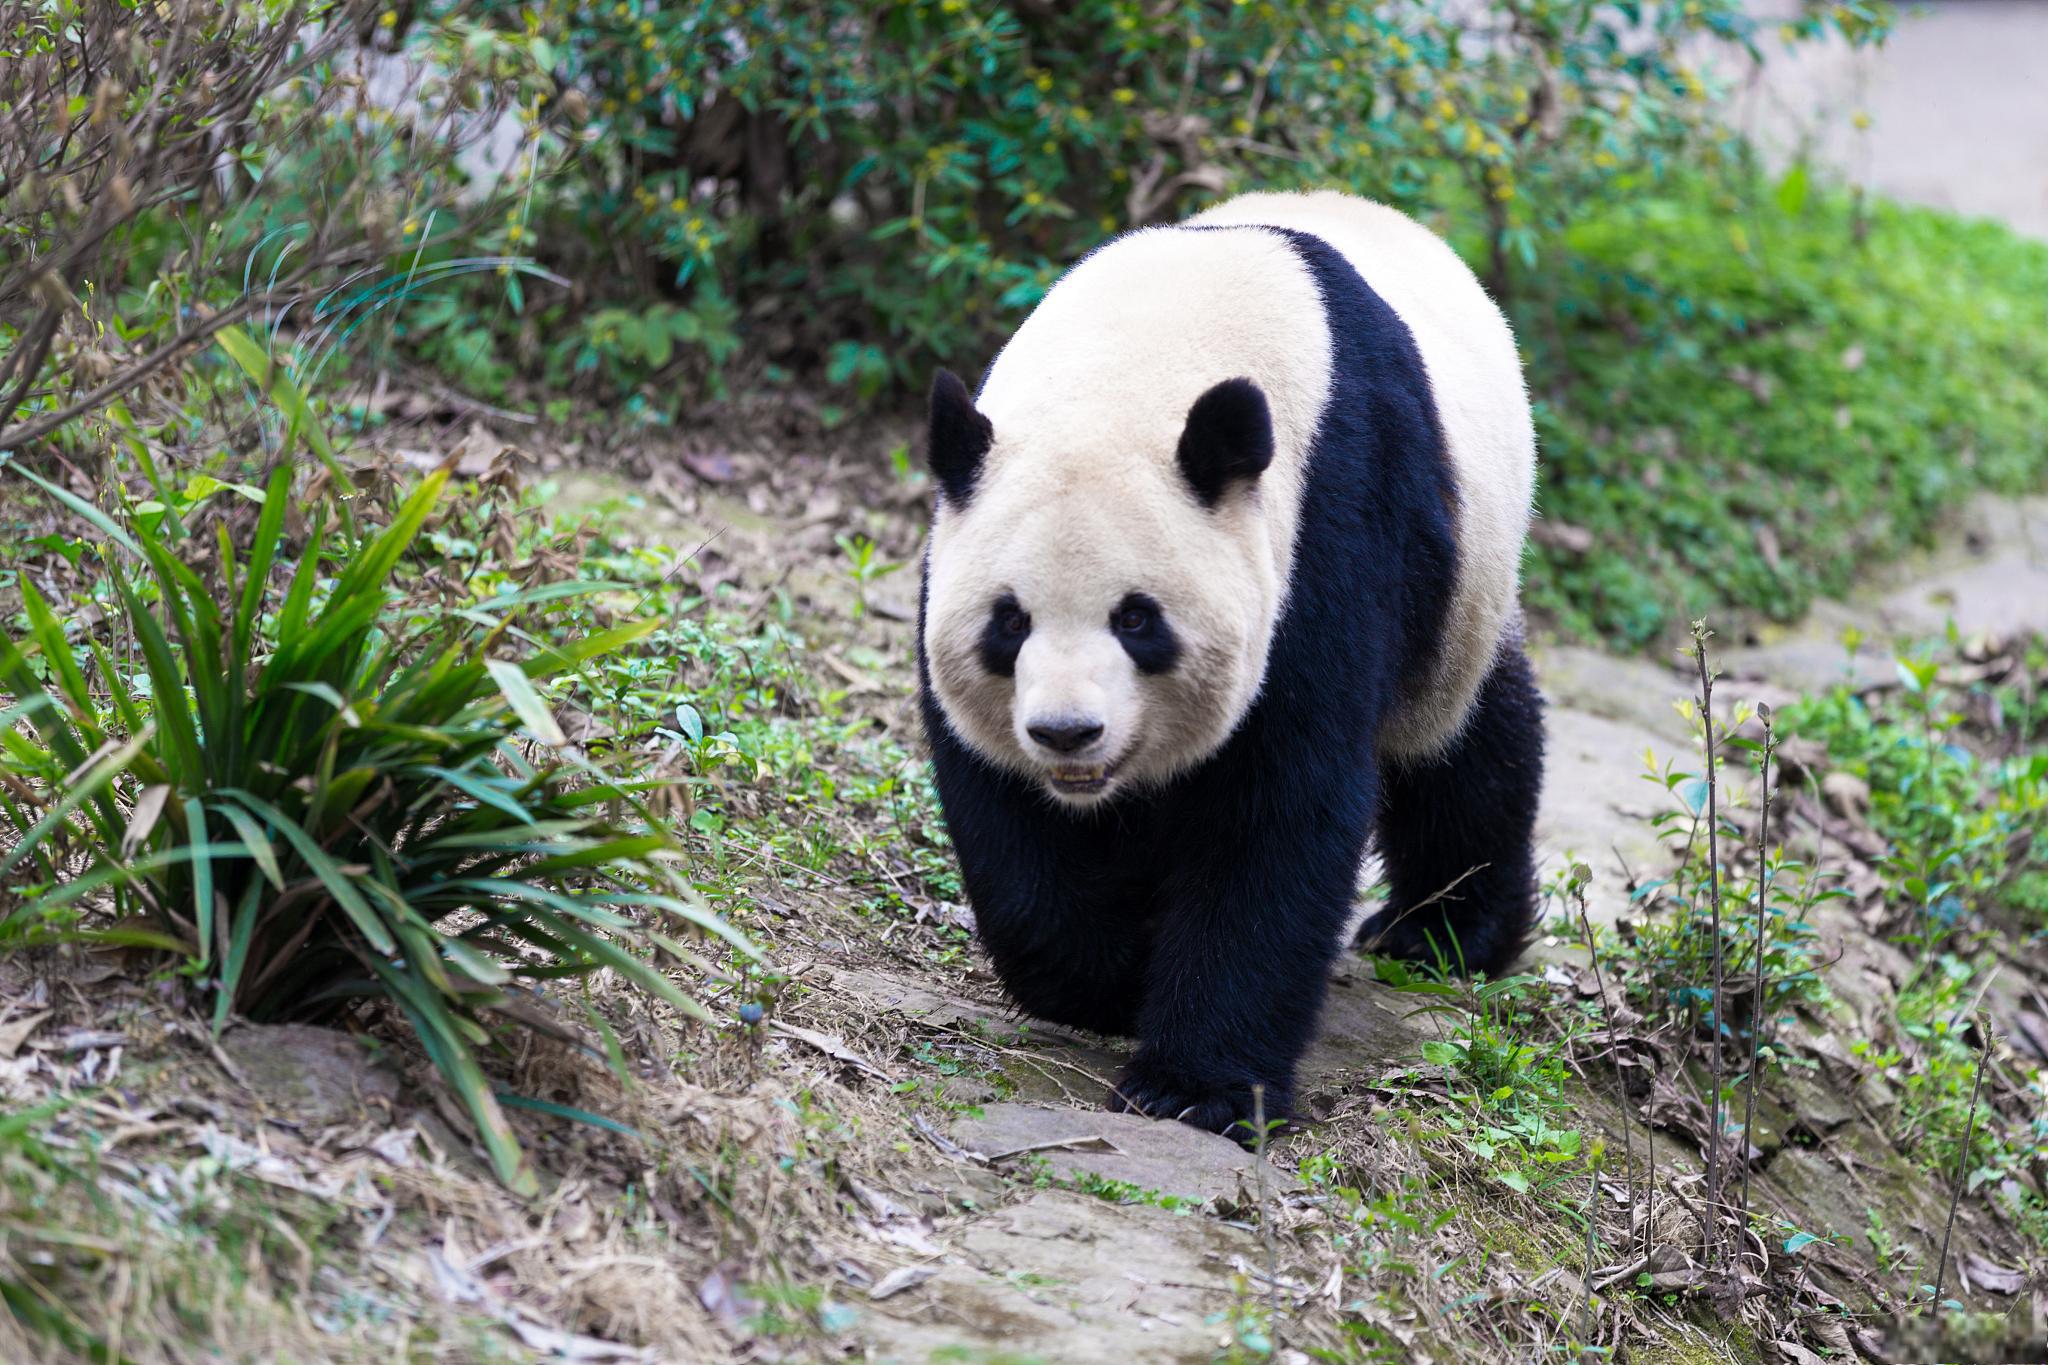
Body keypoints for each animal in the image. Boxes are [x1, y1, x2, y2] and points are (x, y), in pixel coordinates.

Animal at [913, 187, 1540, 1137]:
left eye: (1138, 619)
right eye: (1009, 623)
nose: (1068, 733)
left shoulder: (1328, 524)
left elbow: (1279, 803)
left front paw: (1190, 1086)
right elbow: (1004, 809)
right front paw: (1111, 976)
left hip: (1464, 584)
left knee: (1466, 744)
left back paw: (1440, 934)